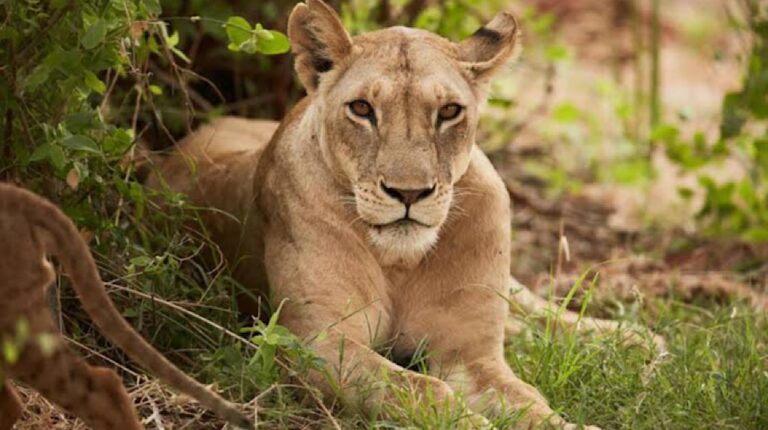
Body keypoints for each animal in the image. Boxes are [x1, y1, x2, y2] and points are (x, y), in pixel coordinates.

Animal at [147, 1, 663, 428]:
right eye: (362, 108)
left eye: (450, 111)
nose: (409, 192)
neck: (401, 260)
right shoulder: (316, 343)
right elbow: (424, 391)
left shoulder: (470, 354)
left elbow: (529, 401)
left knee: (535, 309)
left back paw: (634, 340)